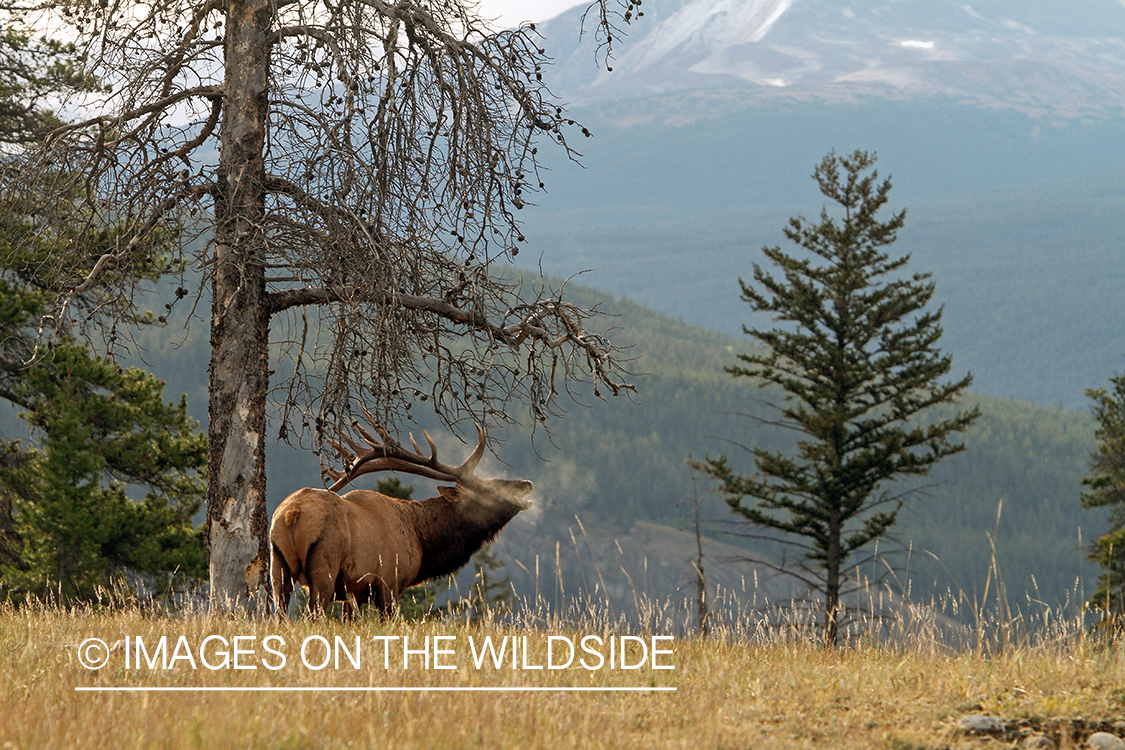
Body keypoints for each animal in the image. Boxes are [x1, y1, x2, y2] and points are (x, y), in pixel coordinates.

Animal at [267, 413, 531, 620]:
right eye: (489, 489)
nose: (526, 483)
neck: (421, 541)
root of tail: (292, 513)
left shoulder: (352, 591)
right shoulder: (389, 583)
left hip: (278, 564)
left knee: (279, 614)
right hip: (324, 565)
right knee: (313, 613)